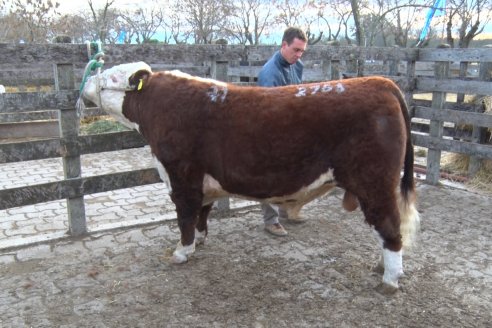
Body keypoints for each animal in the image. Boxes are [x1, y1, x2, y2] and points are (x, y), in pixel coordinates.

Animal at [80, 61, 418, 292]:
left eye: (111, 77)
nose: (86, 84)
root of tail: (380, 82)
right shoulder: (203, 182)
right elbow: (202, 212)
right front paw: (200, 241)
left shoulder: (181, 176)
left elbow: (186, 215)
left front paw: (181, 251)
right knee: (388, 229)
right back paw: (381, 268)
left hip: (374, 182)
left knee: (391, 228)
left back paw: (388, 280)